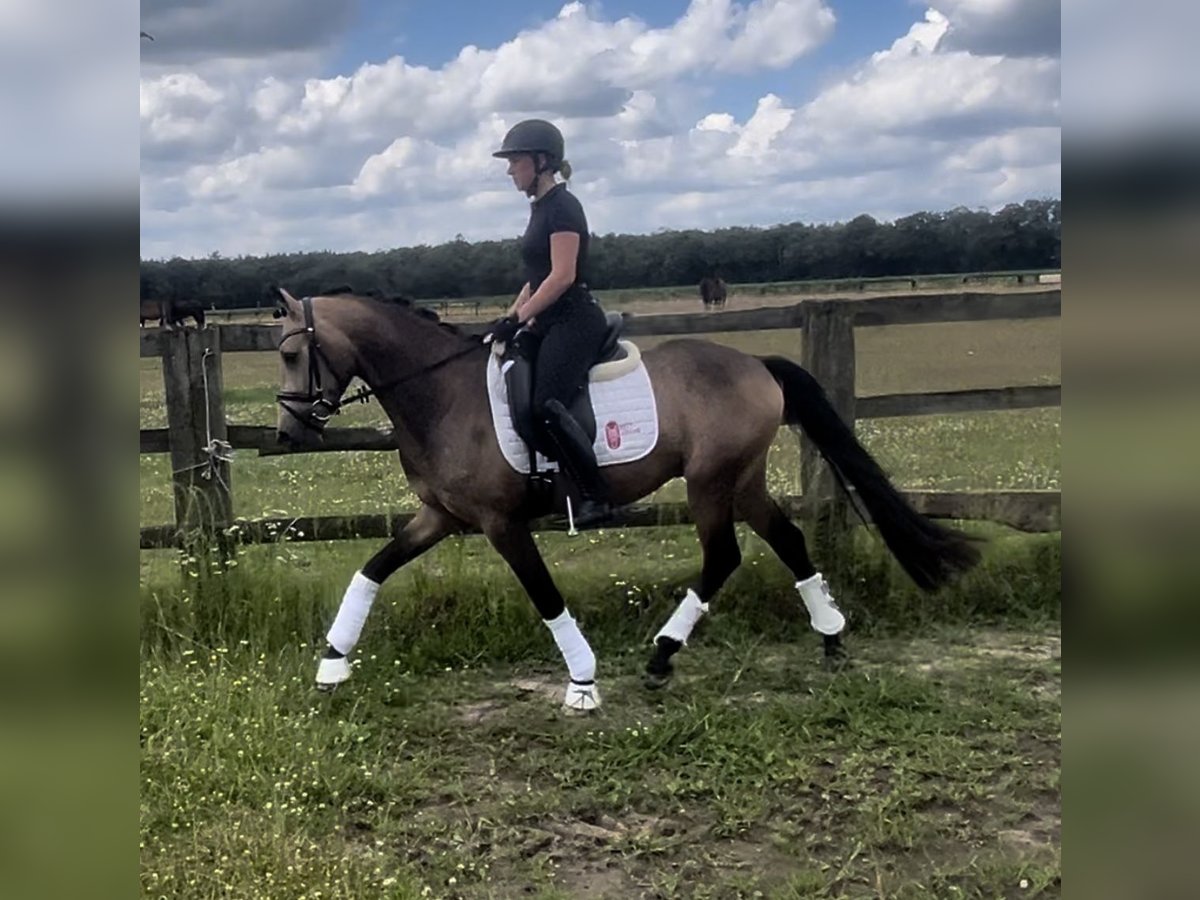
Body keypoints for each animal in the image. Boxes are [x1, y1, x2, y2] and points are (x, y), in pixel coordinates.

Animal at [274, 285, 984, 710]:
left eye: (290, 355)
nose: (288, 433)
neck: (444, 395)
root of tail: (756, 364)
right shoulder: (441, 516)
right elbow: (372, 571)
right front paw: (332, 665)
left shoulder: (502, 523)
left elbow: (545, 596)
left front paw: (583, 681)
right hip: (743, 479)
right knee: (787, 540)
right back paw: (831, 640)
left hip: (709, 482)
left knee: (723, 557)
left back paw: (662, 656)